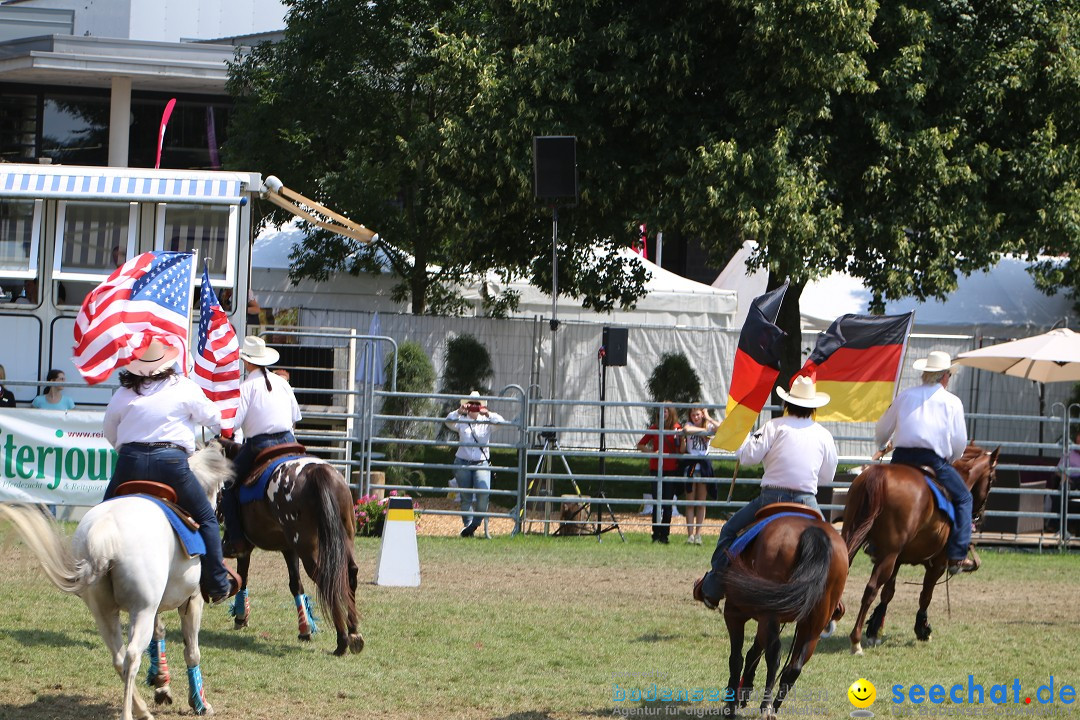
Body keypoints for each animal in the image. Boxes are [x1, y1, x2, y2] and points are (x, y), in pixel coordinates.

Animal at [0, 440, 234, 720]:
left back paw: (142, 708)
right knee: (131, 657)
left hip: (104, 611)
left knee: (118, 658)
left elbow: (159, 635)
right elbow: (192, 651)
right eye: (220, 491)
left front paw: (161, 684)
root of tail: (104, 531)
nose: (221, 515)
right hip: (141, 610)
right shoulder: (192, 601)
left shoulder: (156, 607)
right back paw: (132, 713)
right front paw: (199, 702)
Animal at [214, 436, 362, 656]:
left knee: (327, 579)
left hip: (307, 547)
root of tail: (318, 472)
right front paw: (304, 630)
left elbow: (244, 577)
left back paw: (342, 641)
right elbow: (295, 585)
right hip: (344, 537)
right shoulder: (289, 548)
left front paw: (241, 617)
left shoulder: (245, 548)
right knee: (349, 574)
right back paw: (354, 633)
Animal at [721, 509, 846, 716]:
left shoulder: (734, 613)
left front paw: (731, 705)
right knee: (794, 667)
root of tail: (814, 533)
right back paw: (773, 708)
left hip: (770, 614)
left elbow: (737, 658)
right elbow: (753, 652)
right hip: (814, 623)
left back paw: (766, 706)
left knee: (774, 657)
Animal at [838, 442, 997, 656]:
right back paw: (855, 641)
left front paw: (875, 629)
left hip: (853, 534)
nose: (980, 515)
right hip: (888, 554)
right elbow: (925, 596)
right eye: (992, 478)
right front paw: (922, 629)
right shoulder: (937, 564)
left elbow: (888, 592)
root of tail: (878, 475)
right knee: (871, 588)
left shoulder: (897, 560)